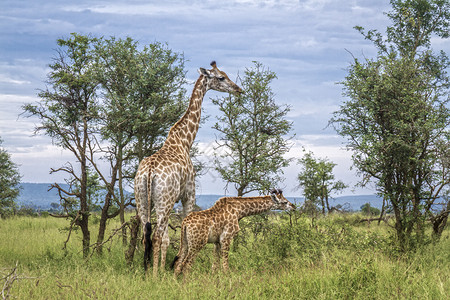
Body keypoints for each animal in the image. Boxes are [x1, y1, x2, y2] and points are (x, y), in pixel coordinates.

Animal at [134, 61, 243, 276]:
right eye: (221, 77)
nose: (238, 89)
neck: (184, 141)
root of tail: (149, 173)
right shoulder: (188, 194)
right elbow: (181, 229)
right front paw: (174, 268)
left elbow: (168, 238)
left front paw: (167, 268)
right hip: (164, 201)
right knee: (157, 236)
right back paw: (154, 275)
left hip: (141, 199)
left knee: (146, 235)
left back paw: (146, 271)